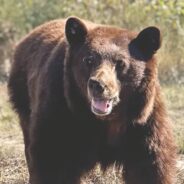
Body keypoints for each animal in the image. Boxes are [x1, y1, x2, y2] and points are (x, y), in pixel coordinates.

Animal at [8, 16, 177, 183]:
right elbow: (53, 156)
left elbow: (149, 164)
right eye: (88, 60)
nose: (98, 85)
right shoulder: (61, 106)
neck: (105, 121)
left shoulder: (142, 118)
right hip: (23, 96)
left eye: (120, 63)